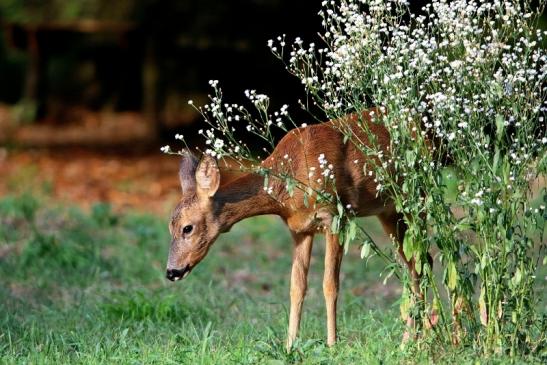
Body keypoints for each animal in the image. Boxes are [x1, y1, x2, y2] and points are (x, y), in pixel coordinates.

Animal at [165, 109, 426, 350]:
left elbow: (330, 284)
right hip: (389, 211)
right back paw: (414, 339)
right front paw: (289, 345)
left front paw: (332, 344)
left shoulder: (334, 216)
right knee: (417, 265)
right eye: (170, 227)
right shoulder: (299, 229)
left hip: (415, 199)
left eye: (187, 228)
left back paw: (415, 339)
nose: (171, 271)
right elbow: (296, 286)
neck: (289, 178)